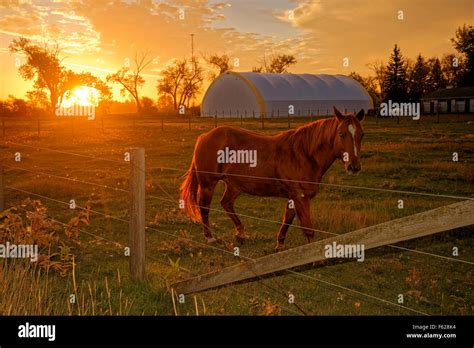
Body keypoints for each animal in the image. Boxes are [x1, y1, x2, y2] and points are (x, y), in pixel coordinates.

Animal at [180, 106, 364, 250]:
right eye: (341, 134)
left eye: (361, 135)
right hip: (208, 184)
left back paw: (241, 233)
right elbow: (308, 228)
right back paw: (210, 237)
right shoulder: (301, 197)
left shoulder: (294, 197)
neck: (304, 154)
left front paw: (280, 244)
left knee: (226, 203)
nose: (354, 166)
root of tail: (204, 136)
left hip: (234, 185)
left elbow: (287, 219)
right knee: (204, 208)